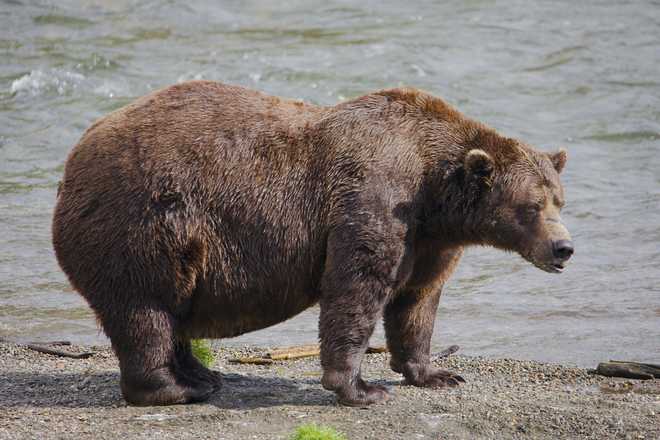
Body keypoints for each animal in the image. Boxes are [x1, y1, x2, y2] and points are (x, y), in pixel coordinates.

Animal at [52, 81, 572, 408]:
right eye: (531, 205)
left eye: (559, 199)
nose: (563, 248)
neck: (435, 192)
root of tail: (73, 158)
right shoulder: (375, 198)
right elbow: (356, 287)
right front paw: (361, 389)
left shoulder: (429, 241)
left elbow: (417, 301)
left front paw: (436, 373)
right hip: (143, 222)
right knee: (146, 309)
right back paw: (175, 388)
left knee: (171, 311)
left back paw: (202, 375)